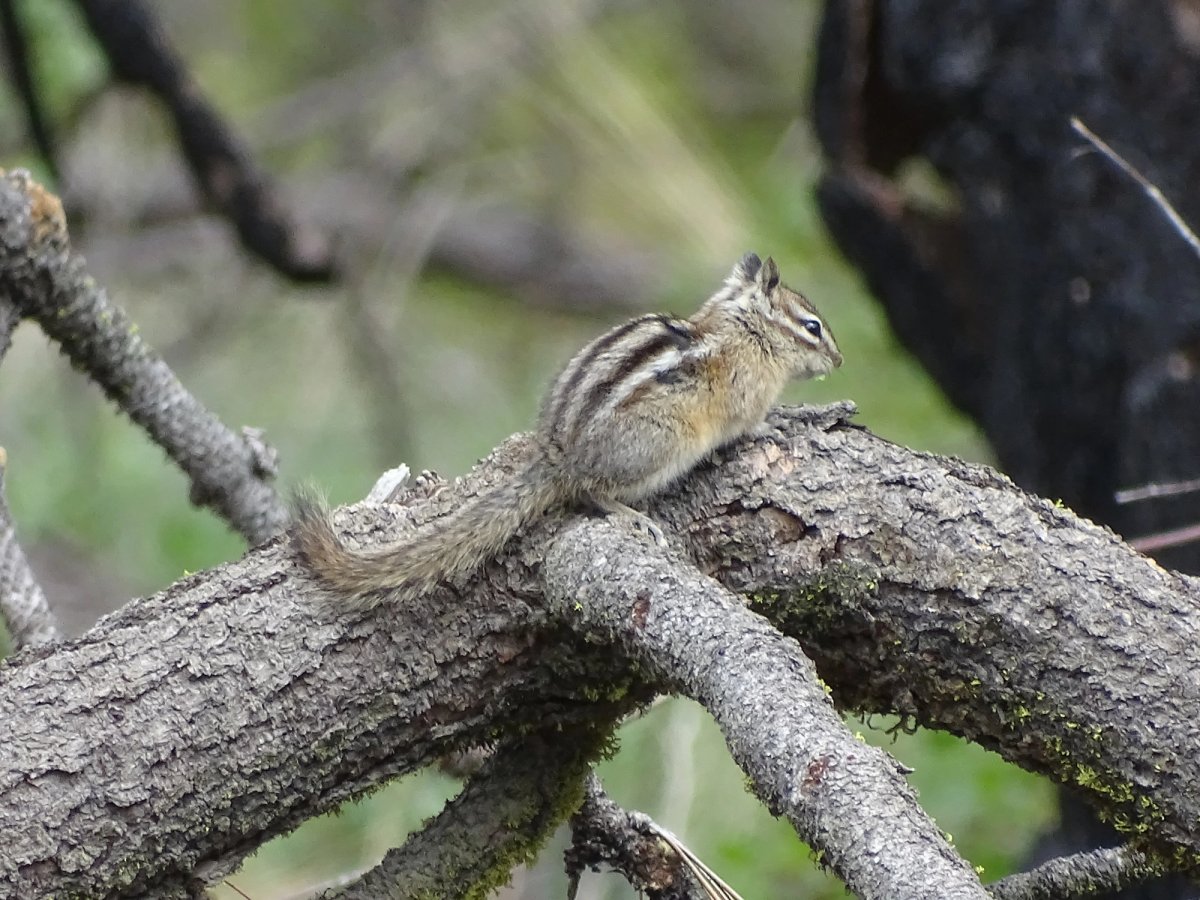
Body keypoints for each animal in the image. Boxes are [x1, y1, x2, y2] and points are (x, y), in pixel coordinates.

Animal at [292, 253, 842, 609]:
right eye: (812, 326)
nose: (839, 361)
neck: (746, 331)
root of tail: (560, 457)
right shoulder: (744, 397)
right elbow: (751, 424)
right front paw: (780, 422)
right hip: (661, 444)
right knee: (591, 492)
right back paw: (631, 516)